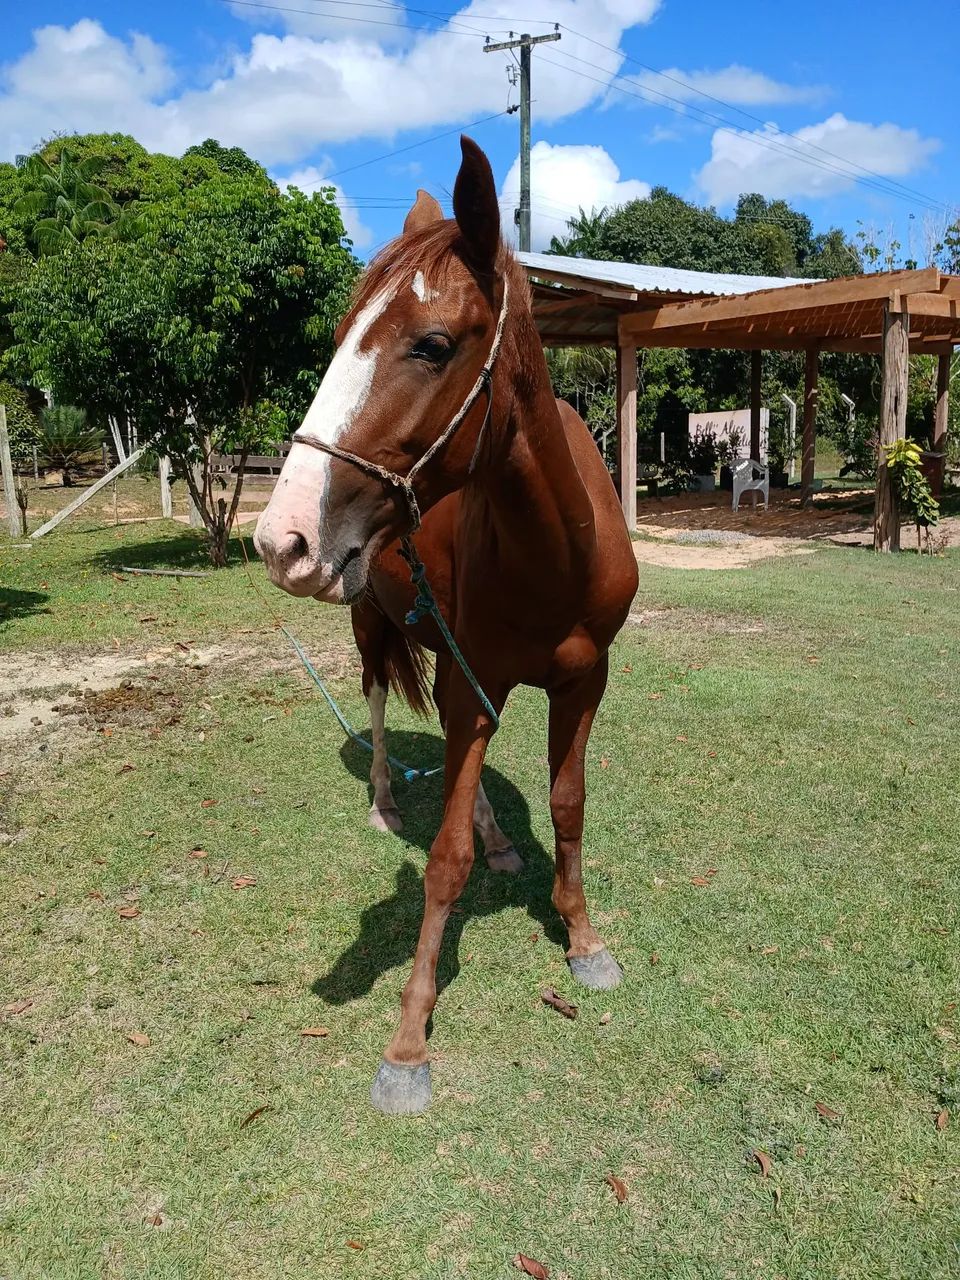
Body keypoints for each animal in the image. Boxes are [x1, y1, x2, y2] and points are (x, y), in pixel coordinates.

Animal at [254, 136, 639, 1115]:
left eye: (431, 345)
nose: (282, 540)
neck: (556, 549)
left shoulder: (586, 681)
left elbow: (569, 804)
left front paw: (584, 940)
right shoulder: (473, 678)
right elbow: (443, 858)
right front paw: (408, 1043)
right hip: (372, 628)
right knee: (379, 709)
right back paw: (386, 800)